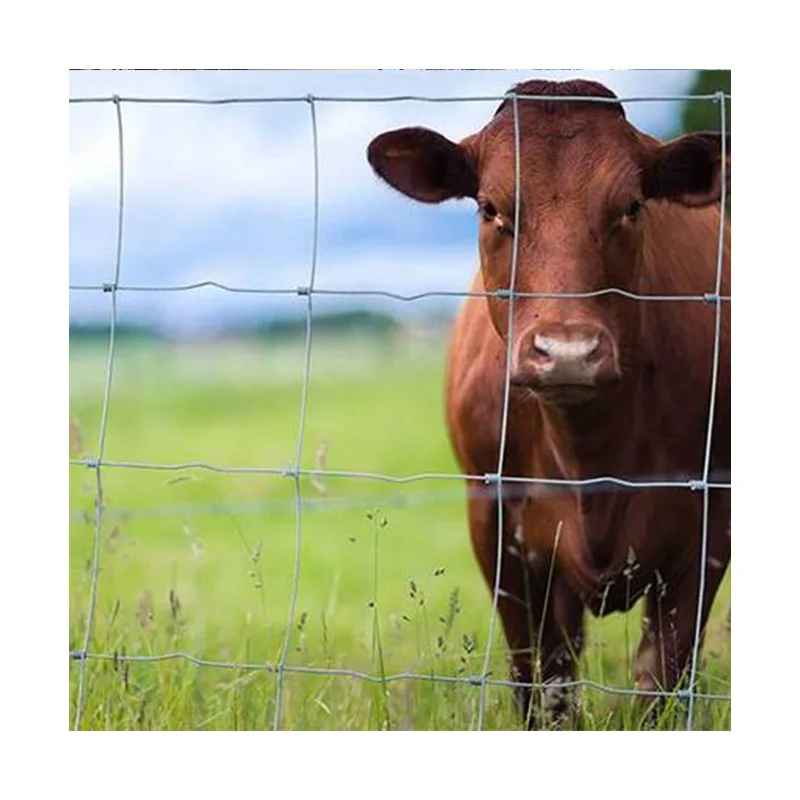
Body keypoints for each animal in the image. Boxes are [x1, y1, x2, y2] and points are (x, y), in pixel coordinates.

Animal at [366, 78, 730, 727]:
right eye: (490, 207)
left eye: (632, 206)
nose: (566, 353)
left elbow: (660, 682)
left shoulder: (710, 526)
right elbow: (539, 679)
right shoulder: (494, 524)